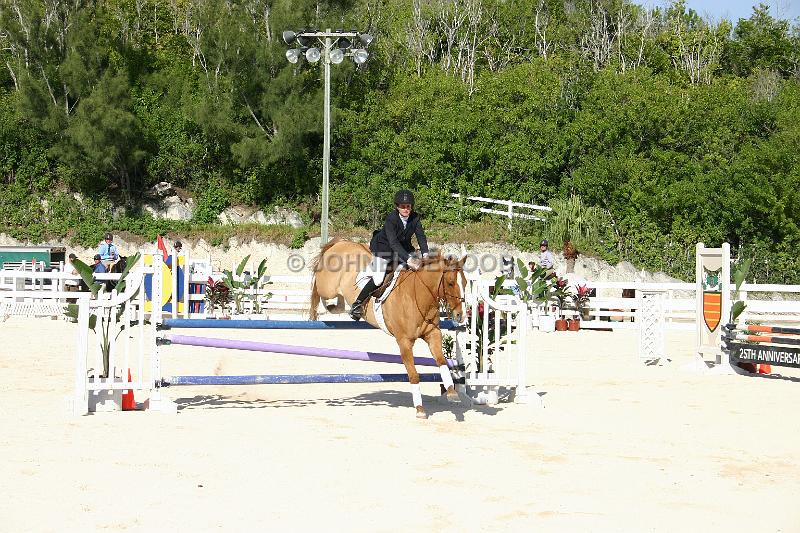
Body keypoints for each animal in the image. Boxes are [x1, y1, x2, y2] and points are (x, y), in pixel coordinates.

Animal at [308, 239, 468, 418]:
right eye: (450, 283)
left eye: (465, 283)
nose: (461, 315)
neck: (418, 294)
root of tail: (342, 242)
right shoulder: (404, 341)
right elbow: (413, 374)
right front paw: (420, 409)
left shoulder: (433, 334)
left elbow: (442, 362)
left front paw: (452, 393)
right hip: (327, 286)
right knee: (319, 289)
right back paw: (323, 309)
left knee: (338, 303)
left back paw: (343, 308)